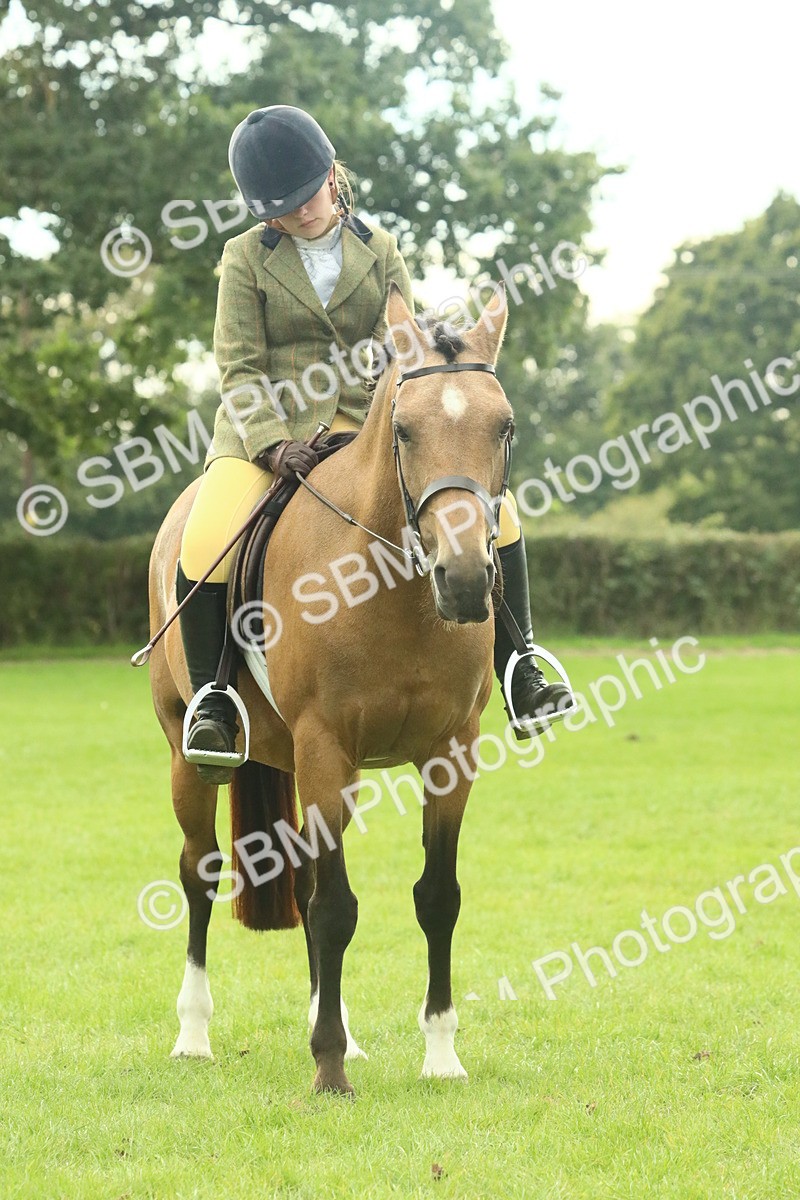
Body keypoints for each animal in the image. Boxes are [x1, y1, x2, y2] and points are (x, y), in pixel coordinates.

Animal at [147, 281, 515, 1095]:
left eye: (504, 427)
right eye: (403, 430)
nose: (465, 580)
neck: (393, 589)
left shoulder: (451, 754)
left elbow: (436, 898)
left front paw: (440, 1055)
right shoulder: (324, 746)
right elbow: (337, 910)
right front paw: (329, 1071)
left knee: (309, 878)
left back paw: (338, 1026)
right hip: (191, 758)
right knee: (200, 872)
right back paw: (193, 1034)